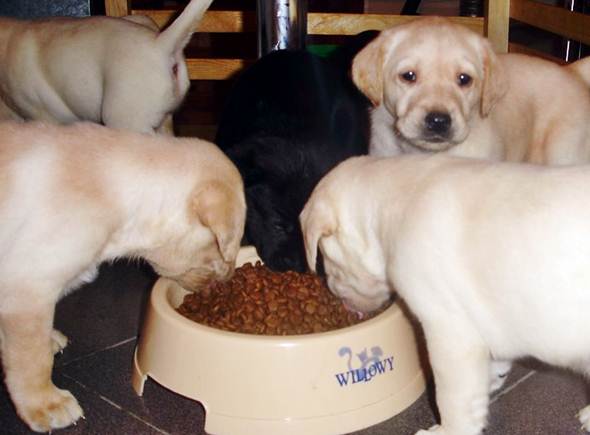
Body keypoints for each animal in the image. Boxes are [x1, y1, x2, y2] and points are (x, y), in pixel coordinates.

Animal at [302, 155, 590, 434]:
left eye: (326, 260)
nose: (333, 291)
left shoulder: (449, 331)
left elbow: (453, 397)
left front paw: (446, 429)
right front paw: (492, 380)